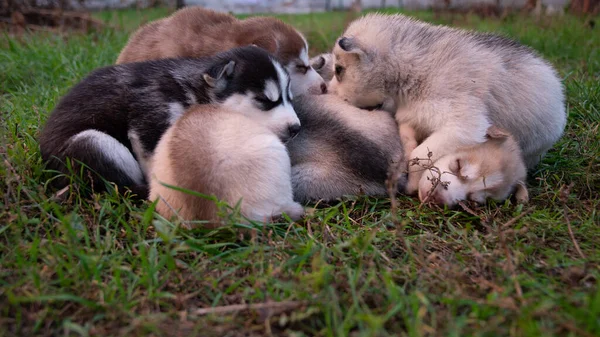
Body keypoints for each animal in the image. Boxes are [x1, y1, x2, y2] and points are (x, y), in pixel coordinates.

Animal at [39, 45, 298, 197]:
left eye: (290, 98)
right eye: (264, 100)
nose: (296, 128)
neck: (191, 91)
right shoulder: (150, 120)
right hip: (94, 143)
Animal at [328, 13, 568, 194]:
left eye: (338, 70)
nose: (325, 90)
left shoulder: (463, 126)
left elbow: (419, 155)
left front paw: (412, 185)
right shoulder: (412, 117)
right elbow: (410, 143)